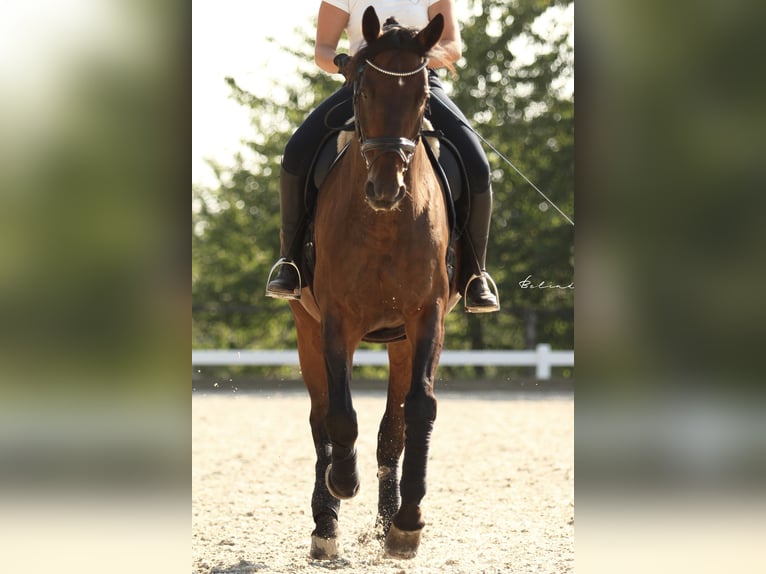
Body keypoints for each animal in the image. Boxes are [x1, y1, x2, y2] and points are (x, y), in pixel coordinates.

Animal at [288, 6, 462, 560]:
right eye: (362, 90)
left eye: (423, 96)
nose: (386, 188)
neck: (385, 222)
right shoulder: (335, 320)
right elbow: (340, 415)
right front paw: (344, 483)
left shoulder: (427, 316)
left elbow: (419, 411)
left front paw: (407, 524)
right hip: (305, 328)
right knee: (320, 416)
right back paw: (326, 524)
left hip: (401, 340)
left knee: (393, 426)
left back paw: (388, 520)